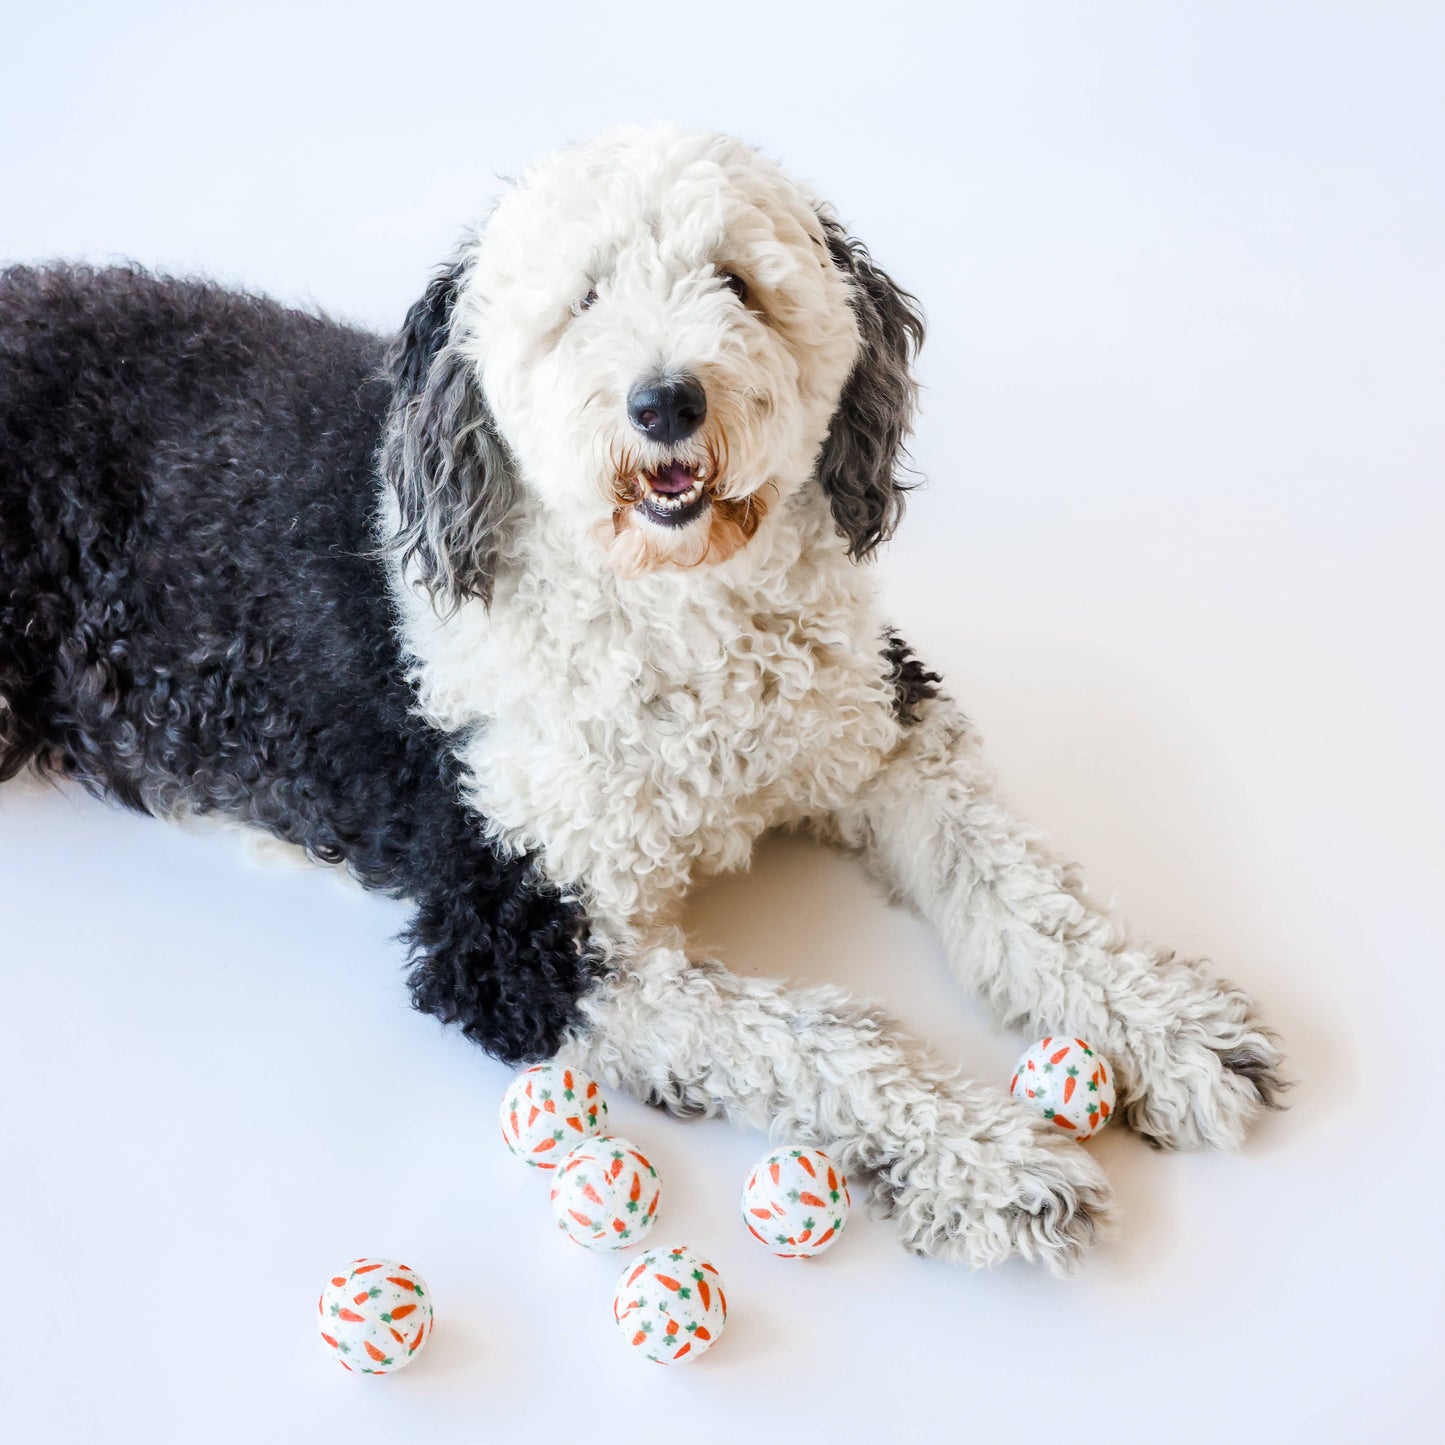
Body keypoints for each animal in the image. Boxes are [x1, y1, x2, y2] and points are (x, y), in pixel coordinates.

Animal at [2, 127, 1288, 1277]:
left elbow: (1018, 886)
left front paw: (1166, 1024)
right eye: (580, 300)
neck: (681, 614)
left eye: (737, 283)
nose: (666, 401)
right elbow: (808, 1036)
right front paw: (979, 1159)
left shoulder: (880, 727)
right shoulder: (517, 932)